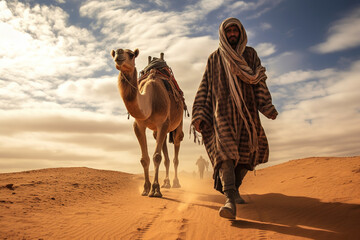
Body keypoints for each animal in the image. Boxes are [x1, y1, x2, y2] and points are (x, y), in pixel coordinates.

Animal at [110, 48, 184, 197]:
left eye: (131, 54)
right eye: (113, 53)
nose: (119, 53)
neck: (151, 100)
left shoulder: (163, 123)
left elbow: (156, 157)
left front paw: (155, 190)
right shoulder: (139, 125)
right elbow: (144, 159)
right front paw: (145, 189)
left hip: (177, 124)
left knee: (175, 151)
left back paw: (175, 183)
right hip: (158, 130)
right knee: (165, 155)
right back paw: (166, 183)